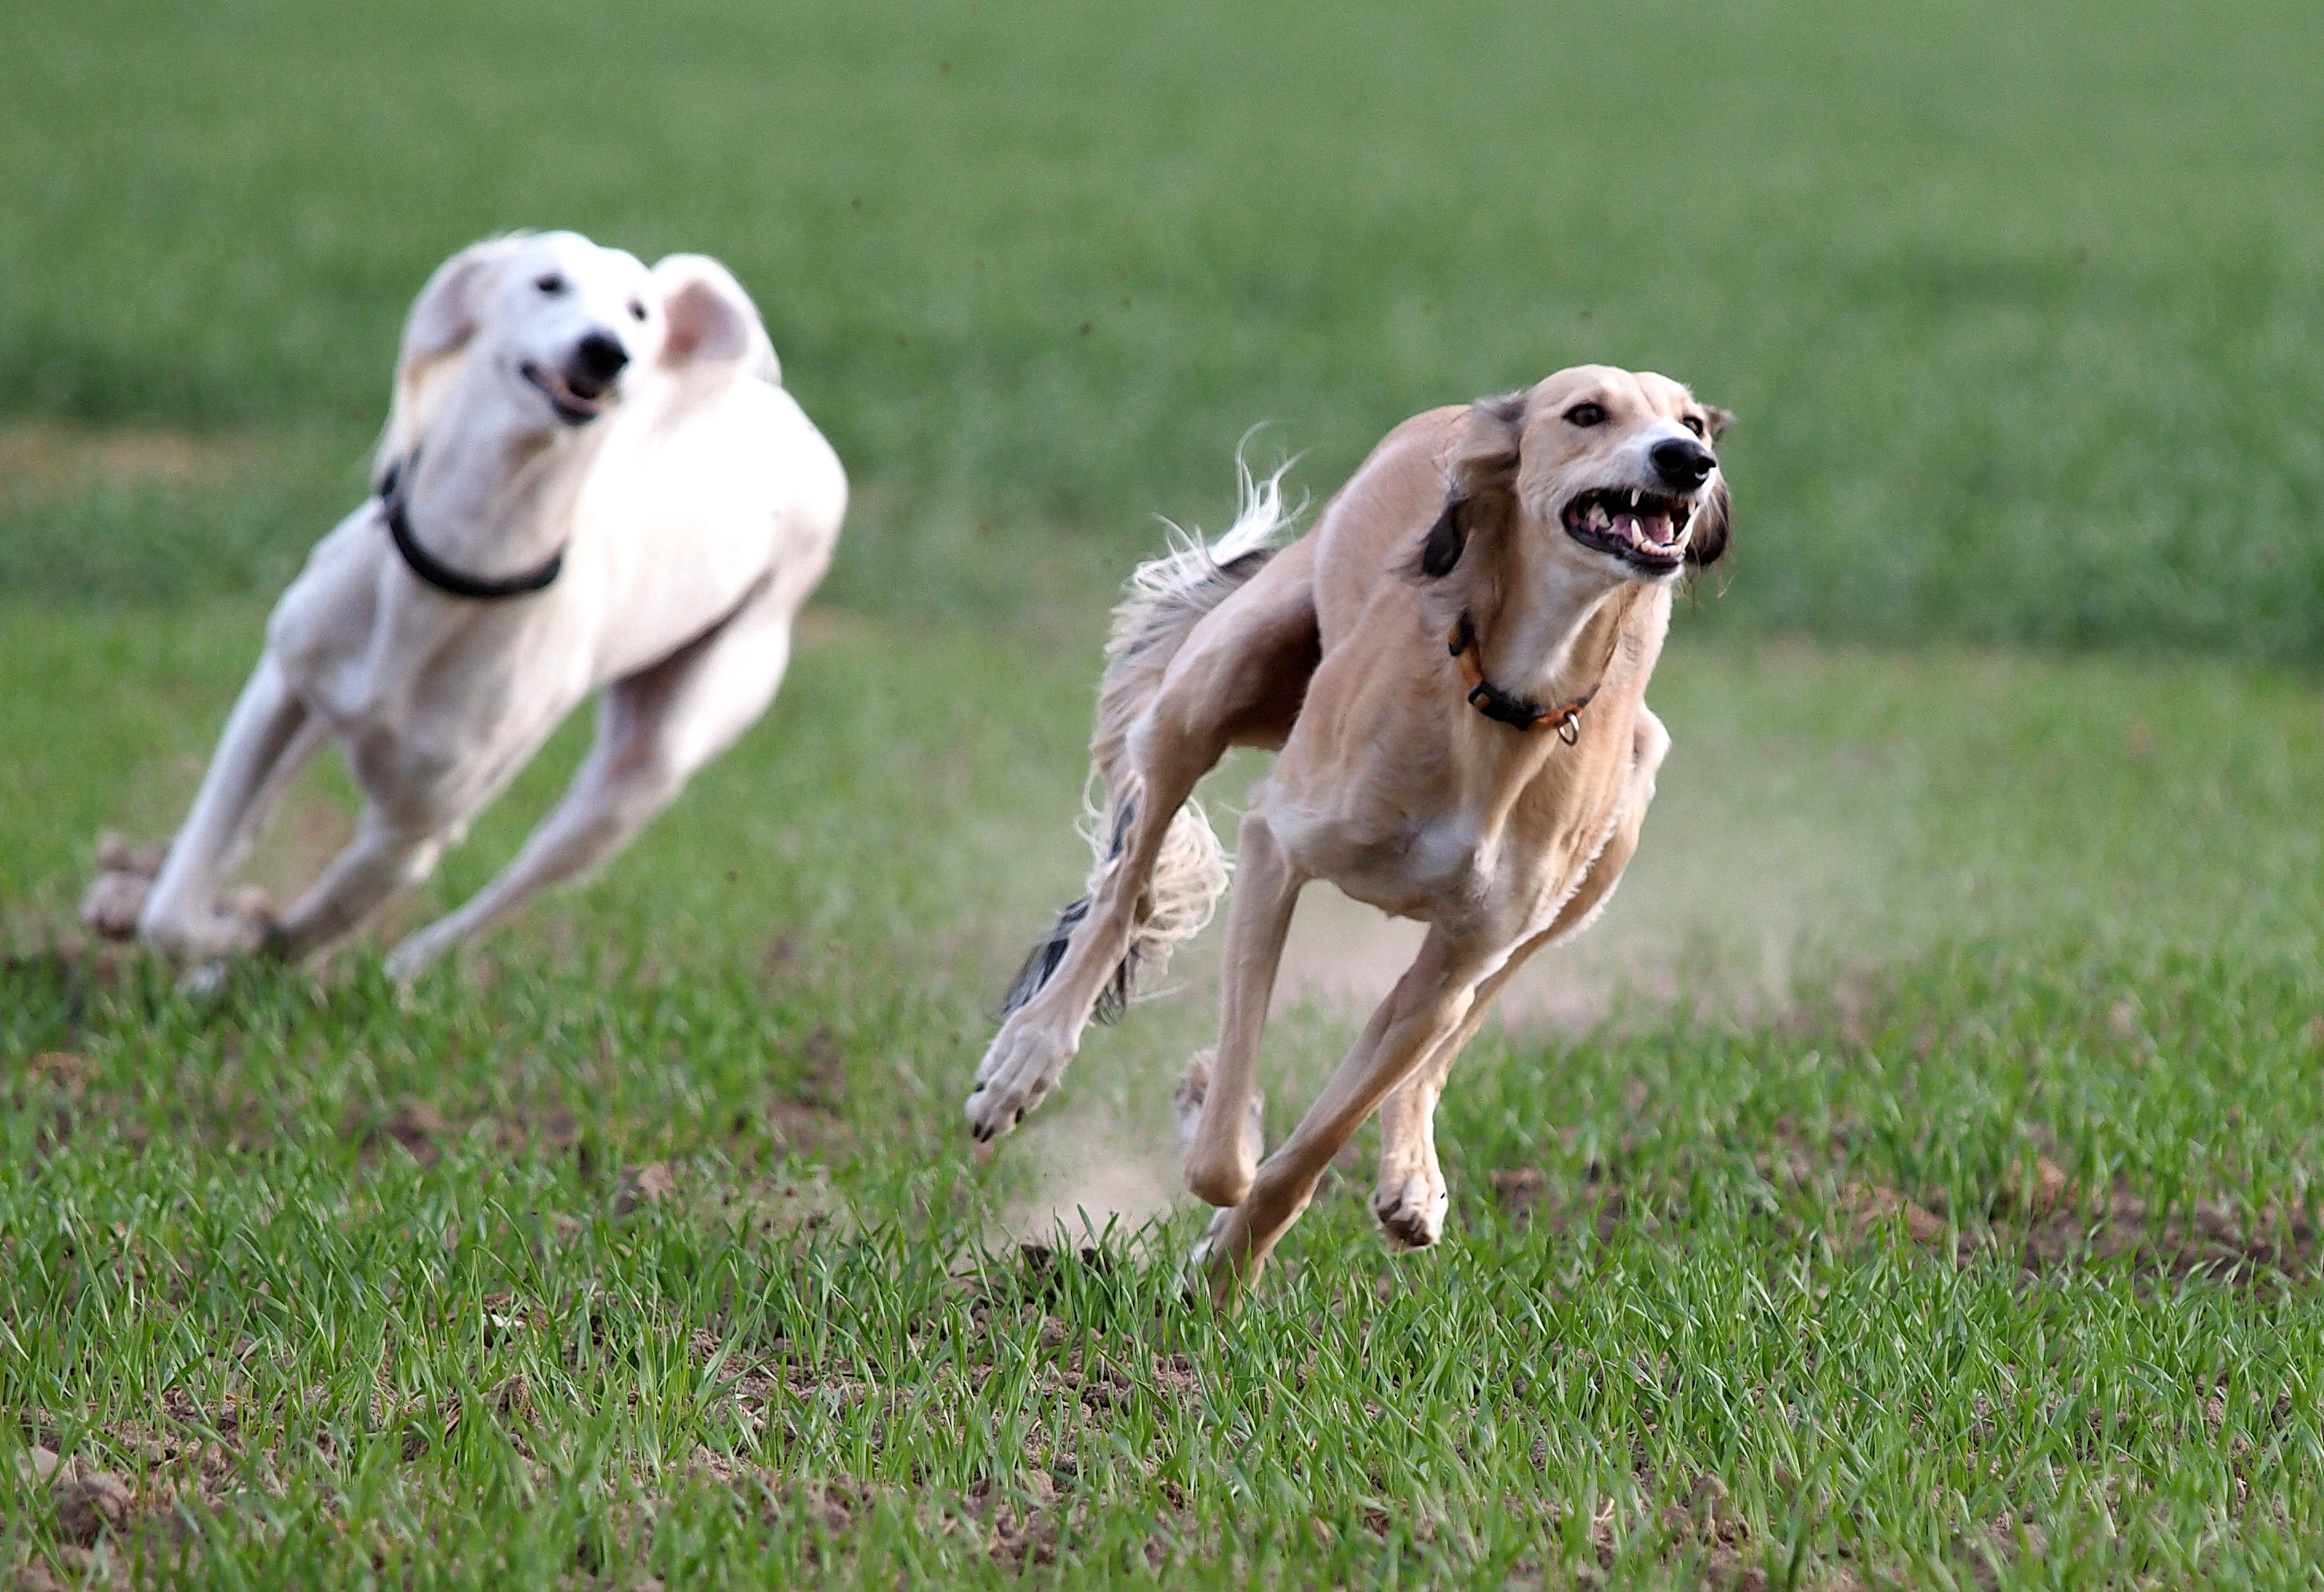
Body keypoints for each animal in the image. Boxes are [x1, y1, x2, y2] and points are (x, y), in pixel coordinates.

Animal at [88, 235, 855, 981]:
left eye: (640, 311)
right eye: (548, 283)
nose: (607, 350)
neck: (462, 567)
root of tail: (790, 416)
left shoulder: (415, 829)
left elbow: (300, 924)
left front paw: (238, 943)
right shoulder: (278, 689)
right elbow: (183, 895)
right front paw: (177, 907)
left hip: (651, 763)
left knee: (522, 879)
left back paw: (413, 963)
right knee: (257, 807)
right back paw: (135, 883)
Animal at [962, 369, 1729, 1292]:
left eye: (1691, 422)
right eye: (1586, 413)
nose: (1687, 461)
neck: (1505, 699)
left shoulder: (1451, 965)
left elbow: (1315, 1146)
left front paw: (1223, 1272)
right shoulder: (1274, 844)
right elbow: (1222, 1152)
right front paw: (1209, 1132)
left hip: (1600, 854)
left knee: (1453, 1037)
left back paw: (1411, 1174)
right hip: (1213, 685)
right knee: (1123, 888)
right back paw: (1024, 1062)